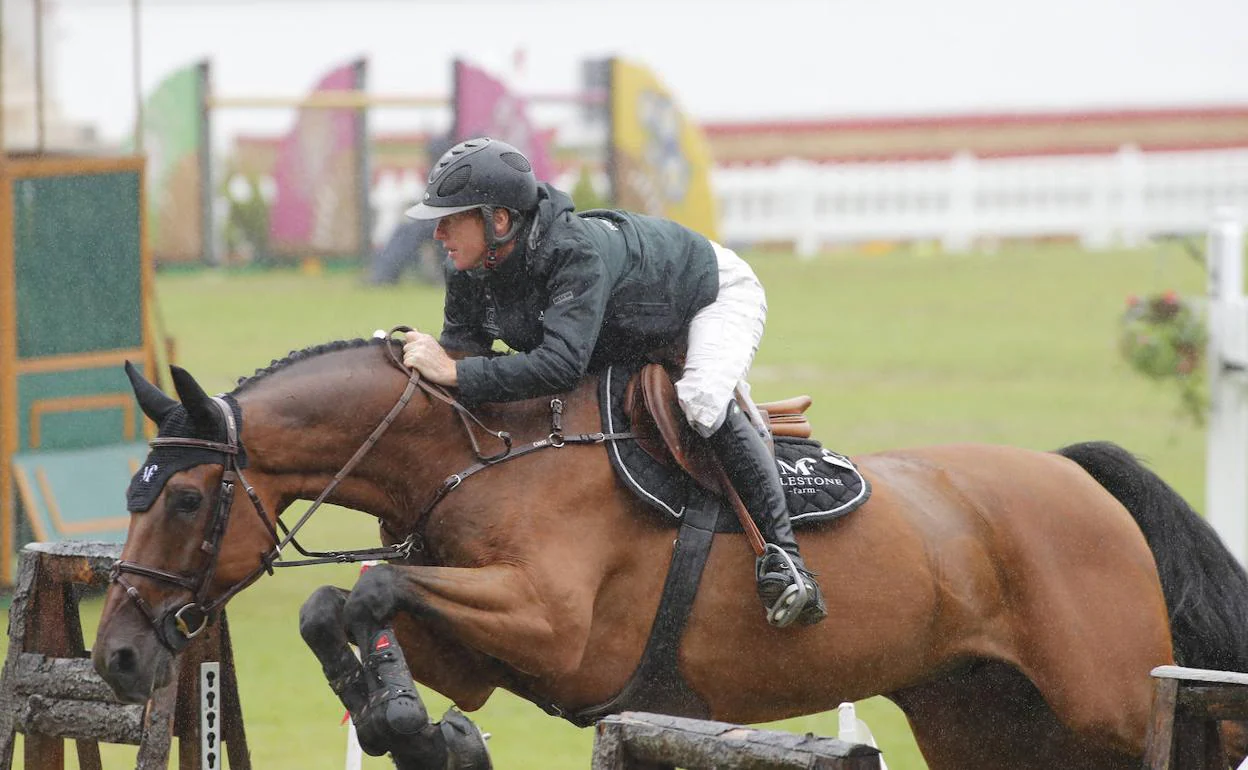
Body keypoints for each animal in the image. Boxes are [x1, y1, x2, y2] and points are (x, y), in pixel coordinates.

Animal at [92, 336, 1248, 768]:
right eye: (132, 494)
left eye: (185, 497)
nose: (116, 657)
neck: (476, 453)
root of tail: (1080, 478)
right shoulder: (480, 642)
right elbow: (337, 606)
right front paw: (407, 724)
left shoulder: (552, 627)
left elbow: (369, 584)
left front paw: (408, 723)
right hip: (985, 716)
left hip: (1108, 695)